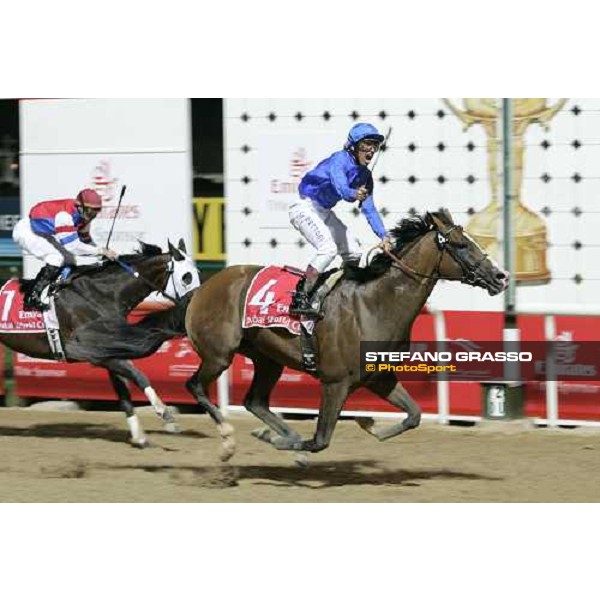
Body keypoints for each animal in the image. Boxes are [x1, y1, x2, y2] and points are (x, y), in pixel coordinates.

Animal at [1, 238, 234, 454]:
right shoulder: (92, 351)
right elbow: (139, 376)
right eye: (187, 276)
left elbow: (123, 391)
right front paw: (165, 414)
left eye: (196, 272)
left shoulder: (107, 353)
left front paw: (140, 437)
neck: (100, 295)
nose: (197, 303)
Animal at [182, 211, 506, 454]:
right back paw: (229, 438)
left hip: (268, 359)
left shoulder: (379, 377)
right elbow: (319, 441)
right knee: (196, 385)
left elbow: (413, 415)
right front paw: (285, 444)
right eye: (460, 244)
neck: (376, 303)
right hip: (219, 355)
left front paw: (369, 425)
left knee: (255, 401)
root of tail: (204, 286)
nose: (500, 276)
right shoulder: (335, 382)